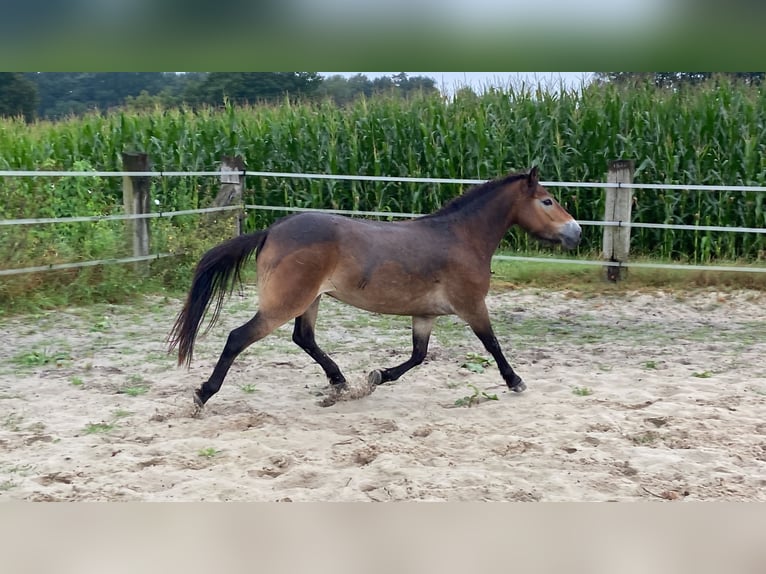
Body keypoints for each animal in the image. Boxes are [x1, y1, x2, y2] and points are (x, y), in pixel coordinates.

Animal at [171, 168, 584, 410]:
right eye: (548, 201)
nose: (576, 232)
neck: (461, 237)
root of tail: (271, 231)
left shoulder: (425, 314)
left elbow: (418, 356)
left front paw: (375, 378)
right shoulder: (472, 305)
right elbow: (493, 344)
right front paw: (516, 382)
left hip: (309, 301)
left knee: (303, 338)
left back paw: (340, 383)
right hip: (285, 303)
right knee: (238, 337)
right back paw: (203, 394)